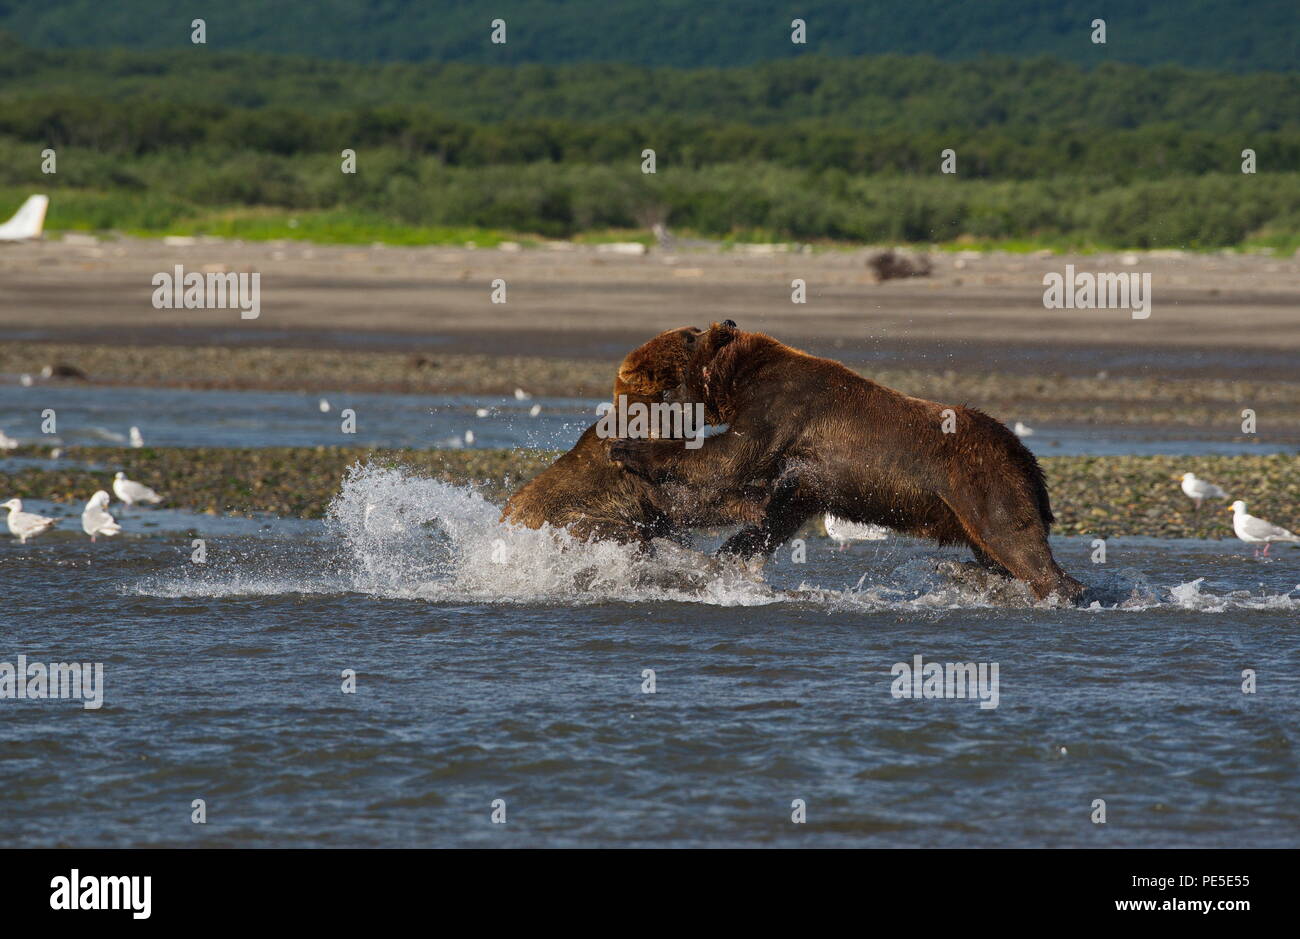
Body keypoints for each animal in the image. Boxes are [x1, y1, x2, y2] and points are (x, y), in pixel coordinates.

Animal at [499, 324, 768, 545]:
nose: (728, 323)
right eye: (690, 337)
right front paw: (753, 503)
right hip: (568, 517)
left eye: (695, 329)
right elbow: (683, 498)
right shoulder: (637, 465)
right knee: (616, 532)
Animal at [609, 321, 1084, 601]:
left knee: (1015, 541)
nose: (665, 396)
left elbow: (726, 460)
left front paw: (626, 448)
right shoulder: (805, 474)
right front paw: (722, 560)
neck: (738, 380)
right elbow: (774, 513)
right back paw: (967, 573)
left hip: (983, 480)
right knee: (996, 552)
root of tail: (1026, 456)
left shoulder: (780, 408)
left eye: (688, 340)